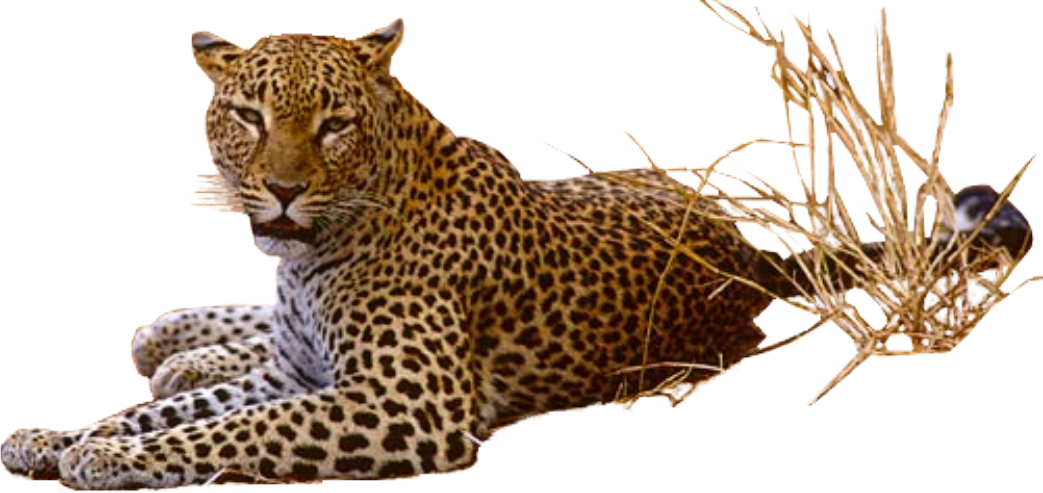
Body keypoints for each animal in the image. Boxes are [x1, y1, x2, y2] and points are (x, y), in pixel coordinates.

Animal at [1, 19, 1032, 490]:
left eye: (332, 123)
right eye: (249, 115)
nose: (283, 190)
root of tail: (746, 249)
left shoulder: (404, 402)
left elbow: (232, 430)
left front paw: (103, 455)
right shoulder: (300, 370)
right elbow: (167, 409)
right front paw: (59, 434)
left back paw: (175, 343)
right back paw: (177, 340)